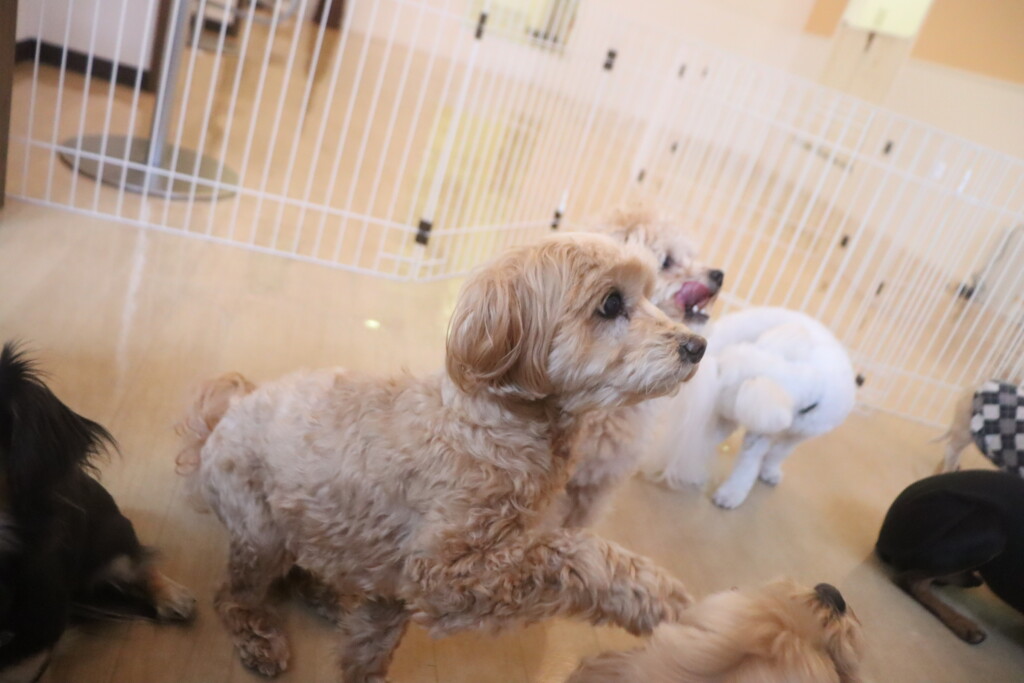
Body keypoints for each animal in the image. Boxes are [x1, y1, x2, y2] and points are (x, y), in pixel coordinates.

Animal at [175, 233, 707, 681]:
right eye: (611, 303)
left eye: (650, 293)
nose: (697, 345)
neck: (494, 425)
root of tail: (215, 428)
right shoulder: (448, 575)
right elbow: (568, 554)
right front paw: (658, 599)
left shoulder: (397, 586)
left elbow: (371, 644)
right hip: (262, 532)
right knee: (234, 595)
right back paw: (259, 637)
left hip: (315, 525)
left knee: (306, 570)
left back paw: (328, 595)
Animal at [643, 307, 857, 509]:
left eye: (722, 373)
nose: (716, 369)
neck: (814, 384)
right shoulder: (759, 431)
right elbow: (748, 465)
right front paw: (731, 494)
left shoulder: (797, 434)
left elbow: (778, 452)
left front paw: (769, 472)